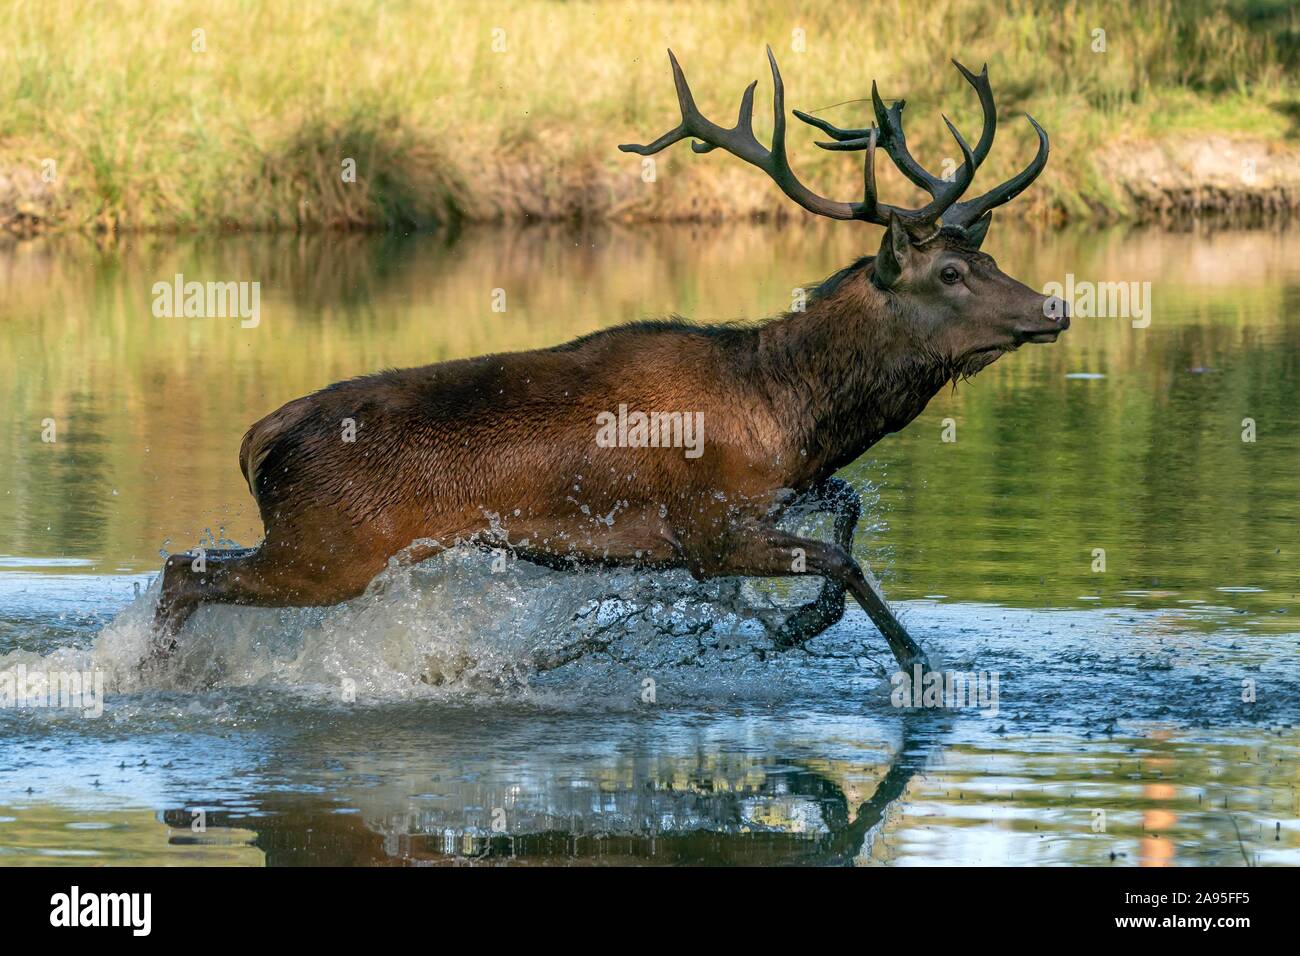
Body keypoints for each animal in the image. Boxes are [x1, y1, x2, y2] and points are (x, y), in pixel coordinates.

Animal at [152, 46, 1066, 671]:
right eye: (950, 273)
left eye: (987, 257)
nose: (1054, 308)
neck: (788, 412)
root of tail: (261, 436)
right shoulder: (703, 527)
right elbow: (843, 561)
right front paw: (908, 663)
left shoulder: (775, 494)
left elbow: (848, 510)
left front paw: (800, 622)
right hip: (329, 547)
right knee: (179, 571)